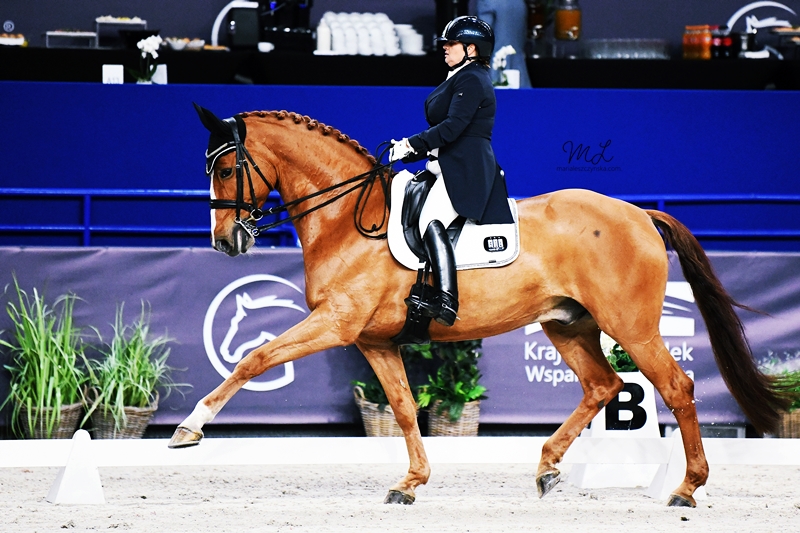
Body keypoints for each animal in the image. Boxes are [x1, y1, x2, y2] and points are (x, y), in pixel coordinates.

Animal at [169, 104, 796, 508]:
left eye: (227, 168)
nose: (225, 242)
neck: (348, 219)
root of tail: (639, 213)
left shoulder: (336, 324)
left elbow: (255, 358)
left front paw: (189, 429)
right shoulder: (373, 340)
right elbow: (403, 408)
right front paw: (410, 483)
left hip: (632, 326)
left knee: (675, 387)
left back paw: (686, 489)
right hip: (569, 326)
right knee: (604, 386)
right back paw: (548, 468)